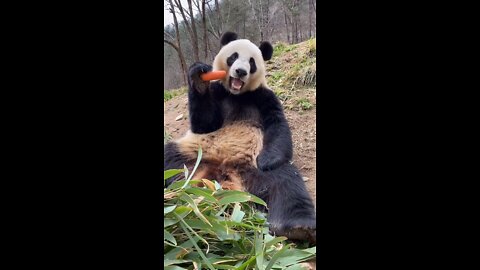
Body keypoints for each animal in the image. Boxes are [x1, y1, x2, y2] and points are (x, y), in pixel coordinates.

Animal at [163, 31, 316, 245]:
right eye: (233, 57)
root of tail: (221, 173)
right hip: (190, 153)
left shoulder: (263, 95)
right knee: (169, 155)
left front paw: (267, 160)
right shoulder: (218, 92)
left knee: (286, 184)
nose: (241, 72)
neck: (237, 94)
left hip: (255, 171)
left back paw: (300, 228)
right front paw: (199, 77)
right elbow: (205, 124)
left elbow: (277, 125)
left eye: (251, 62)